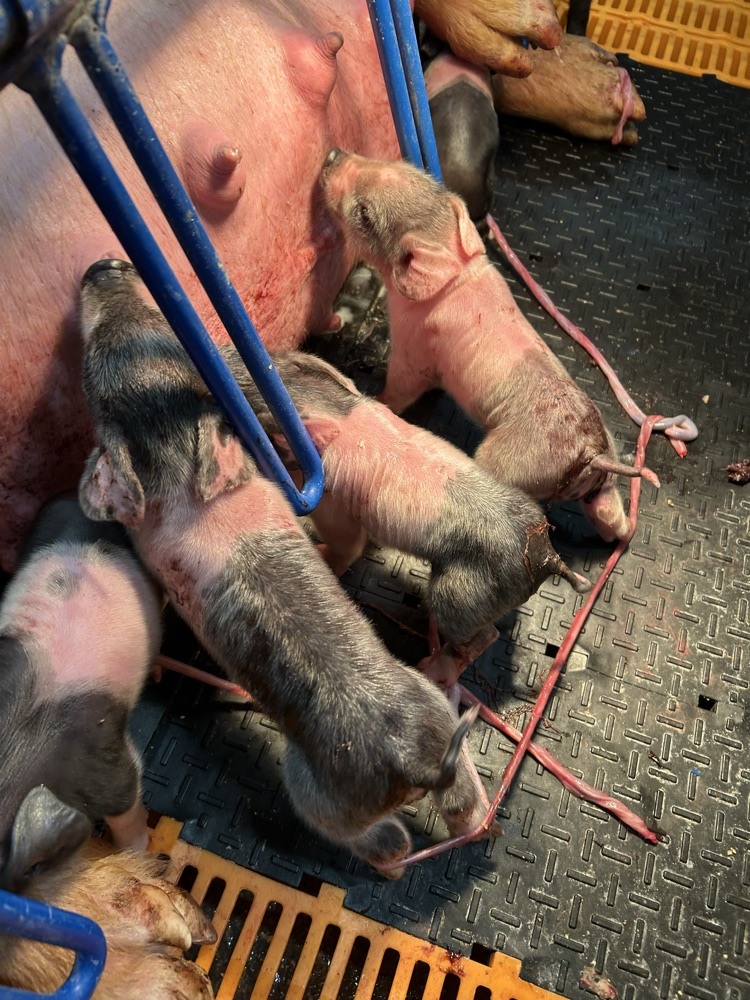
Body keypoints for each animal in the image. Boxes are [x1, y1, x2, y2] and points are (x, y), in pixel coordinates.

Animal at [76, 257, 498, 875]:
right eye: (160, 327)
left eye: (94, 363)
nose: (104, 264)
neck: (178, 462)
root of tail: (415, 762)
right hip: (440, 724)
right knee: (466, 805)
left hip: (318, 793)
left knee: (389, 844)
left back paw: (389, 864)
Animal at [222, 349, 591, 689]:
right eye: (274, 359)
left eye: (254, 408)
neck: (330, 407)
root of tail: (547, 557)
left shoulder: (333, 501)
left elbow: (346, 543)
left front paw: (321, 554)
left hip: (461, 593)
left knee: (485, 636)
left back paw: (431, 670)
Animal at [321, 151, 656, 542]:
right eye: (401, 165)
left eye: (364, 213)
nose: (333, 154)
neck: (455, 263)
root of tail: (590, 453)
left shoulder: (412, 349)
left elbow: (402, 386)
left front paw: (377, 399)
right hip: (601, 481)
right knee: (609, 517)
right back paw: (623, 533)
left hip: (507, 462)